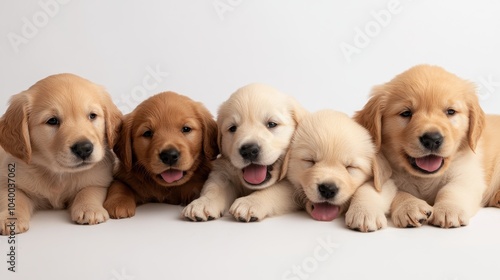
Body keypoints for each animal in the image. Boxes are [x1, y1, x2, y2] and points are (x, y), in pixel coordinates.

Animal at [0, 73, 121, 235]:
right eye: (52, 121)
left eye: (92, 116)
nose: (84, 148)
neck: (58, 175)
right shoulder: (9, 180)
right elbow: (14, 198)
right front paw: (11, 219)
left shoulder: (99, 178)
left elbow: (88, 190)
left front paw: (89, 209)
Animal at [182, 83, 306, 221]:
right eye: (233, 128)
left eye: (272, 124)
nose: (249, 150)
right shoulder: (222, 170)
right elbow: (214, 187)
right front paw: (202, 203)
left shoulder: (297, 186)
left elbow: (276, 189)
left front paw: (250, 202)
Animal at [354, 64, 490, 229]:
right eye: (406, 113)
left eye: (450, 111)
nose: (432, 139)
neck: (423, 178)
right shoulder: (382, 174)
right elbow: (395, 192)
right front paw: (410, 206)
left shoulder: (468, 173)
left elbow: (452, 189)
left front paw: (448, 208)